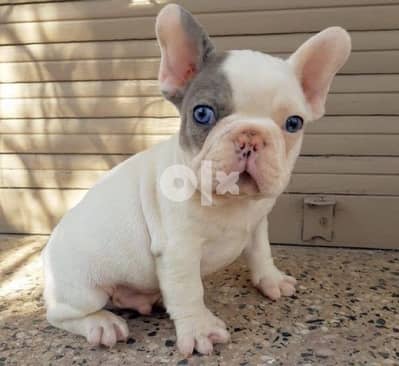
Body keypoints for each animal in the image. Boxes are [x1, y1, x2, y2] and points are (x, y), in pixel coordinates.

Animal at [42, 4, 352, 356]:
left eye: (294, 123)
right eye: (202, 114)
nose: (251, 137)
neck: (230, 203)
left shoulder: (257, 225)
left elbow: (261, 252)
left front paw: (271, 279)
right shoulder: (179, 250)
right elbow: (189, 290)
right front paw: (200, 329)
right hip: (83, 289)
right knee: (61, 314)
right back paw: (101, 324)